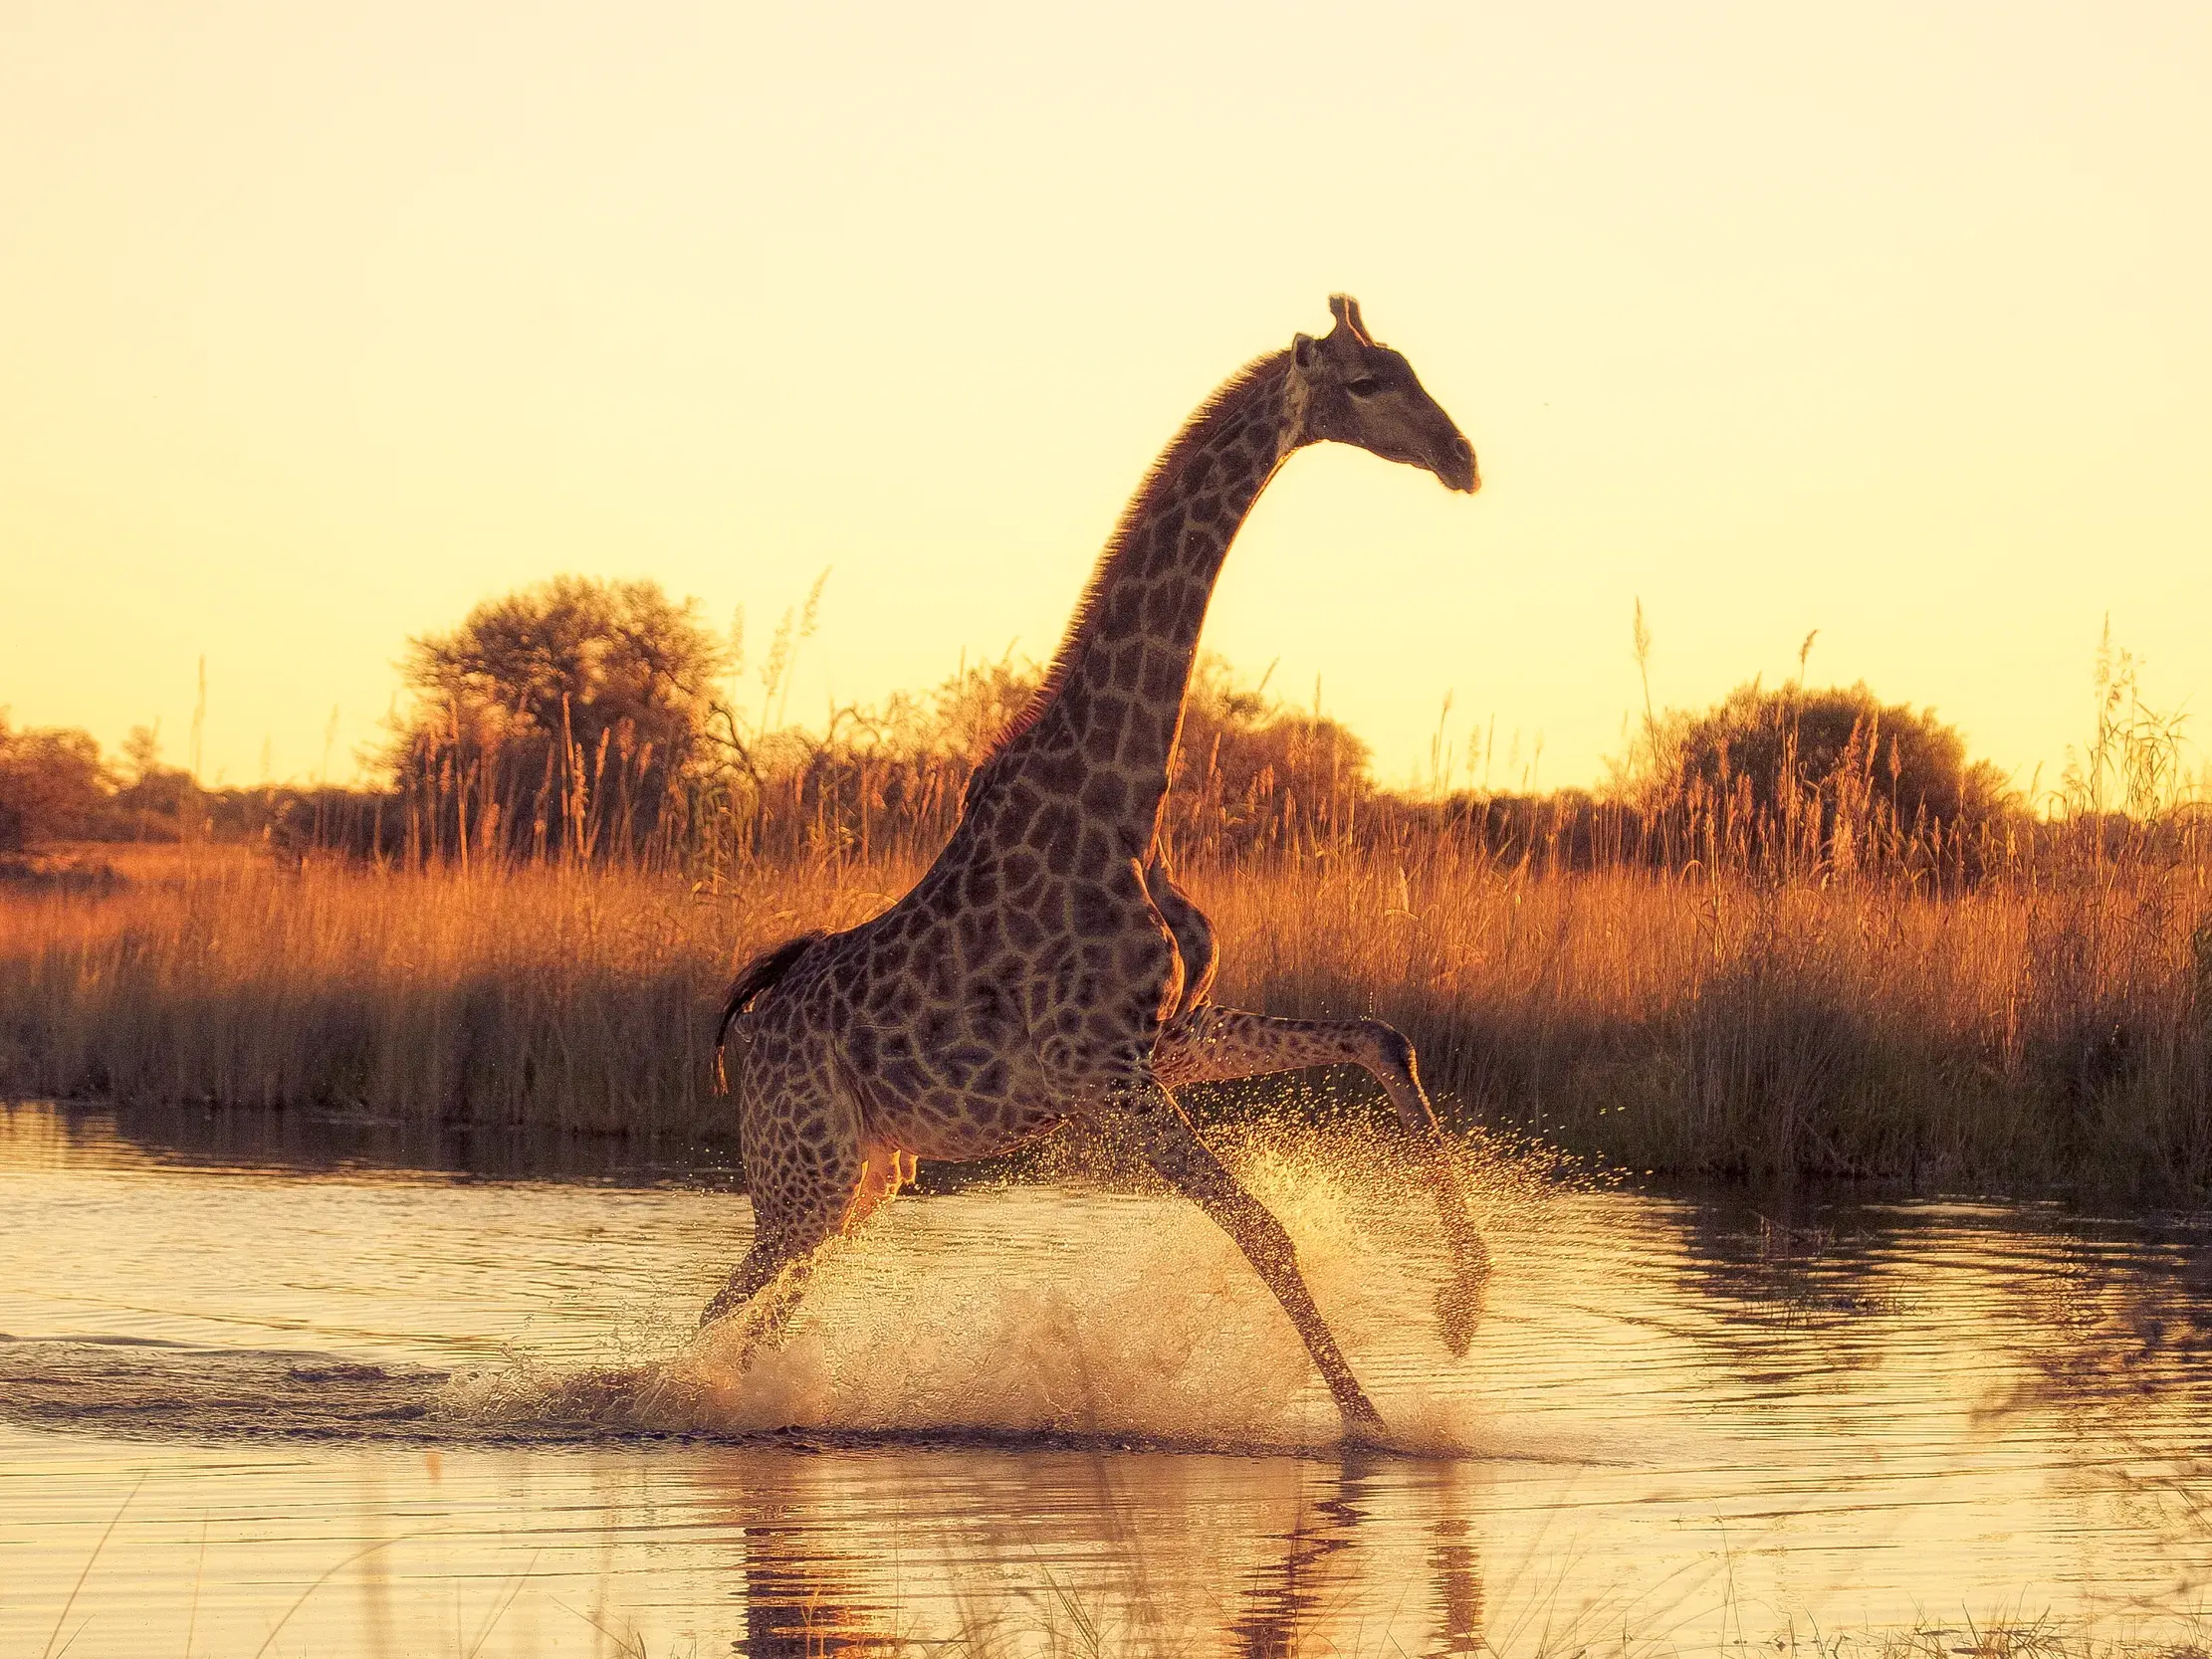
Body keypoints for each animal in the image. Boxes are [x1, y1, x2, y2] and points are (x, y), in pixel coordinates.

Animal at [706, 295, 1484, 1443]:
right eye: (1367, 383)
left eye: (1407, 364)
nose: (1461, 457)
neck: (1121, 800)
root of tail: (748, 1029)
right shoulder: (1099, 1072)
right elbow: (1263, 1228)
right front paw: (1367, 1419)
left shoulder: (1160, 1038)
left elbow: (1379, 1035)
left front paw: (1464, 1305)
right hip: (804, 1174)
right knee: (715, 1310)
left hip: (862, 1179)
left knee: (757, 1318)